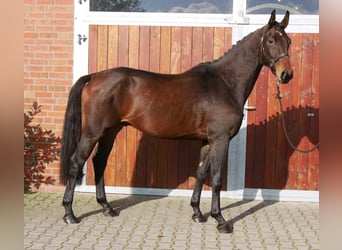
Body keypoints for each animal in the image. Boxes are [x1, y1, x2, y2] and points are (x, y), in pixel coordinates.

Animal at [60, 9, 292, 232]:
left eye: (288, 41)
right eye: (271, 40)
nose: (286, 74)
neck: (224, 84)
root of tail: (94, 77)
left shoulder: (207, 141)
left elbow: (201, 173)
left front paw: (197, 213)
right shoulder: (220, 139)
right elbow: (217, 178)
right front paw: (220, 220)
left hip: (110, 132)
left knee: (99, 162)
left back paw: (107, 208)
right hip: (92, 134)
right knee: (76, 162)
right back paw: (70, 214)